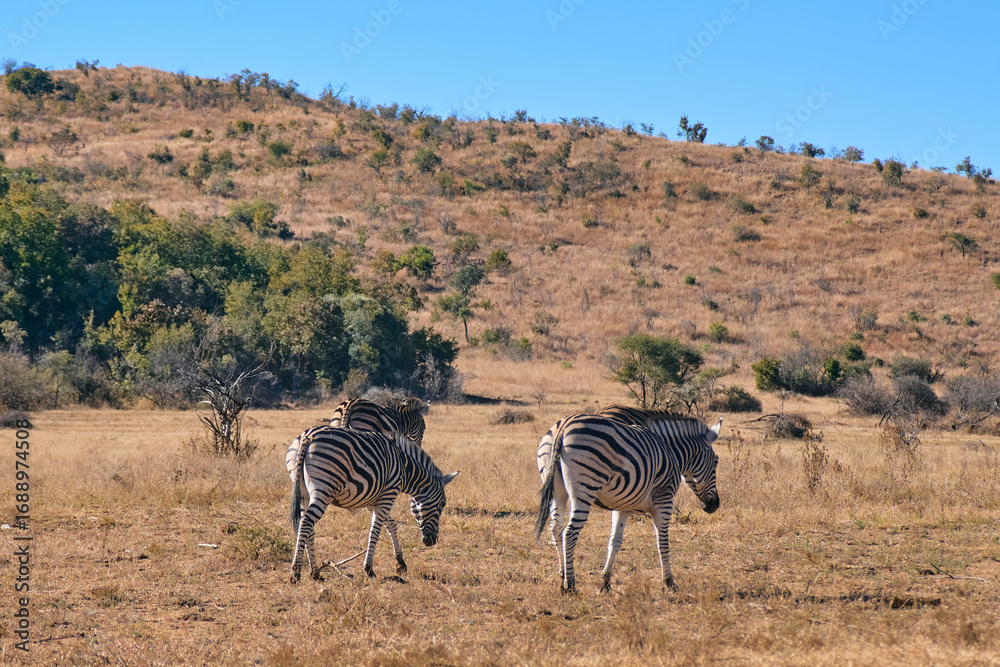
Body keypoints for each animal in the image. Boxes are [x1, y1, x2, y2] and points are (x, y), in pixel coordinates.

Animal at [287, 425, 458, 583]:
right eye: (442, 505)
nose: (432, 541)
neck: (405, 468)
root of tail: (308, 436)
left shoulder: (374, 501)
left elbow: (391, 525)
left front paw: (400, 563)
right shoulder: (388, 495)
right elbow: (375, 530)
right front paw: (369, 568)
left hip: (304, 492)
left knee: (307, 526)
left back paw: (315, 572)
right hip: (324, 489)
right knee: (307, 522)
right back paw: (296, 572)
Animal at [534, 413, 721, 593]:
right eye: (716, 461)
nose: (715, 505)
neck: (673, 453)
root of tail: (563, 426)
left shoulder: (622, 507)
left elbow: (615, 542)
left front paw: (606, 582)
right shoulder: (664, 500)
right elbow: (663, 543)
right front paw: (669, 582)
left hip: (557, 492)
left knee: (556, 528)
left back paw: (562, 576)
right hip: (585, 490)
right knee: (569, 533)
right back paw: (570, 585)